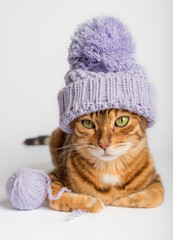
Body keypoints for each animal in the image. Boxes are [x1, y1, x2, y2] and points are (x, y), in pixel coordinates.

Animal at [24, 108, 164, 212]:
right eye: (88, 123)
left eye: (122, 121)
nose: (104, 144)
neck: (109, 168)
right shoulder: (54, 175)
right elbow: (56, 197)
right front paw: (92, 203)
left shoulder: (155, 177)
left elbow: (156, 196)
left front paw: (120, 200)